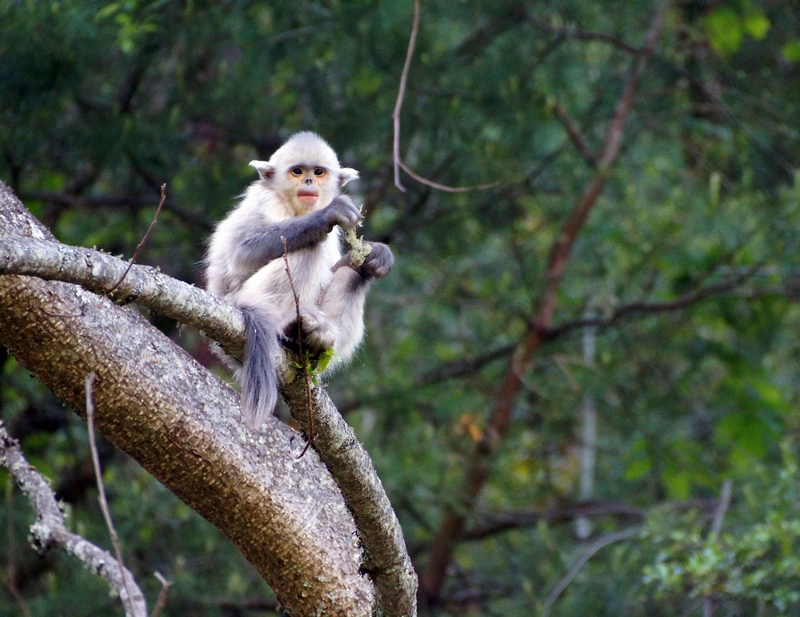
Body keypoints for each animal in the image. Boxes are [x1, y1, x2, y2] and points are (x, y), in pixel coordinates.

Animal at [206, 132, 394, 426]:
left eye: (318, 172)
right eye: (297, 171)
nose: (308, 182)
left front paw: (376, 255)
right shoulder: (264, 197)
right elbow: (243, 249)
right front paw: (327, 215)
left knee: (350, 275)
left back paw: (316, 336)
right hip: (237, 302)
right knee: (309, 247)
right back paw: (285, 328)